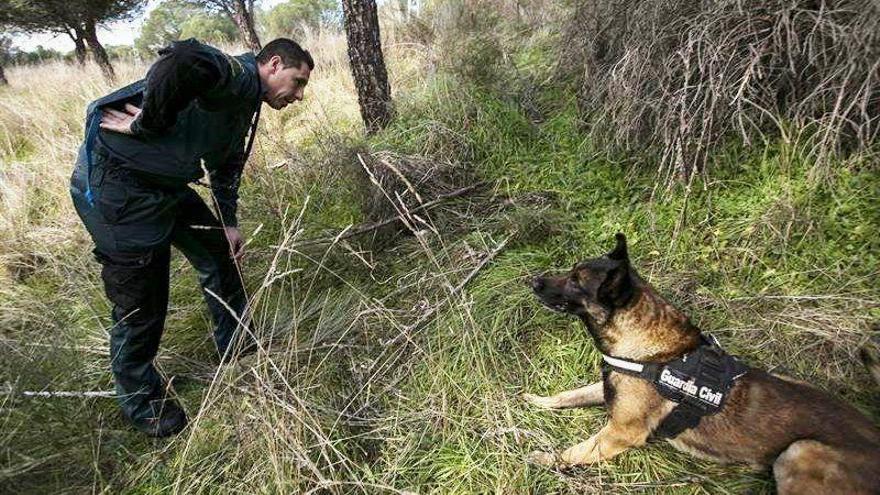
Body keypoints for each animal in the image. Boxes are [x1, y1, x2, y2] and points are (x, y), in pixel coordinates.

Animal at [524, 234, 880, 494]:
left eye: (575, 281)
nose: (533, 282)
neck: (647, 347)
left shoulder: (620, 432)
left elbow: (573, 452)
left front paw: (544, 458)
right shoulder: (610, 388)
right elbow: (569, 395)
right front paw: (536, 400)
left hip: (798, 452)